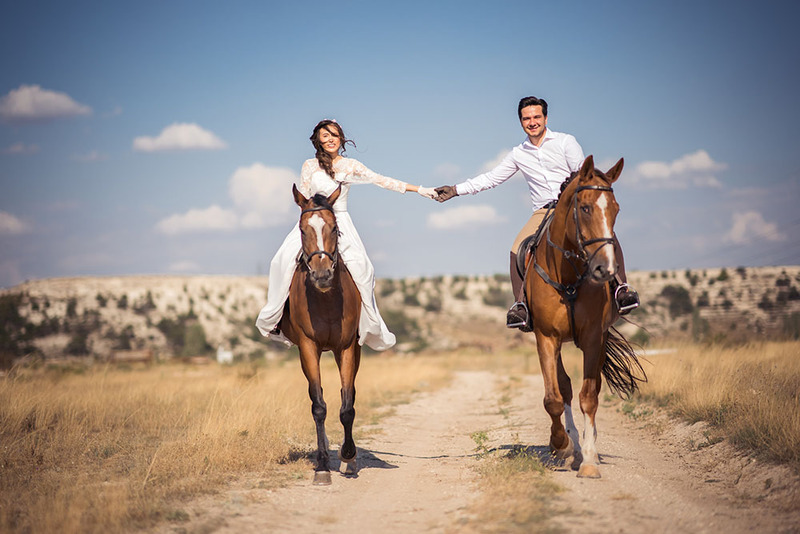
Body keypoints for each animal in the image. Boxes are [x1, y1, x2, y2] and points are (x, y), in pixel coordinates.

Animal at [279, 184, 362, 486]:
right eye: (302, 230)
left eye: (335, 227)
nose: (322, 275)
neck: (326, 300)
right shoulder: (308, 347)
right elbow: (319, 406)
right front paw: (323, 466)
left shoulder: (347, 347)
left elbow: (347, 405)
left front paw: (348, 456)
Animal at [523, 155, 645, 478]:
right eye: (586, 208)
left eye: (616, 209)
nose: (605, 270)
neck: (568, 276)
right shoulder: (546, 337)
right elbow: (554, 398)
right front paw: (560, 443)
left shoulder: (593, 337)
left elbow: (589, 397)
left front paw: (589, 460)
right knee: (564, 387)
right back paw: (571, 446)